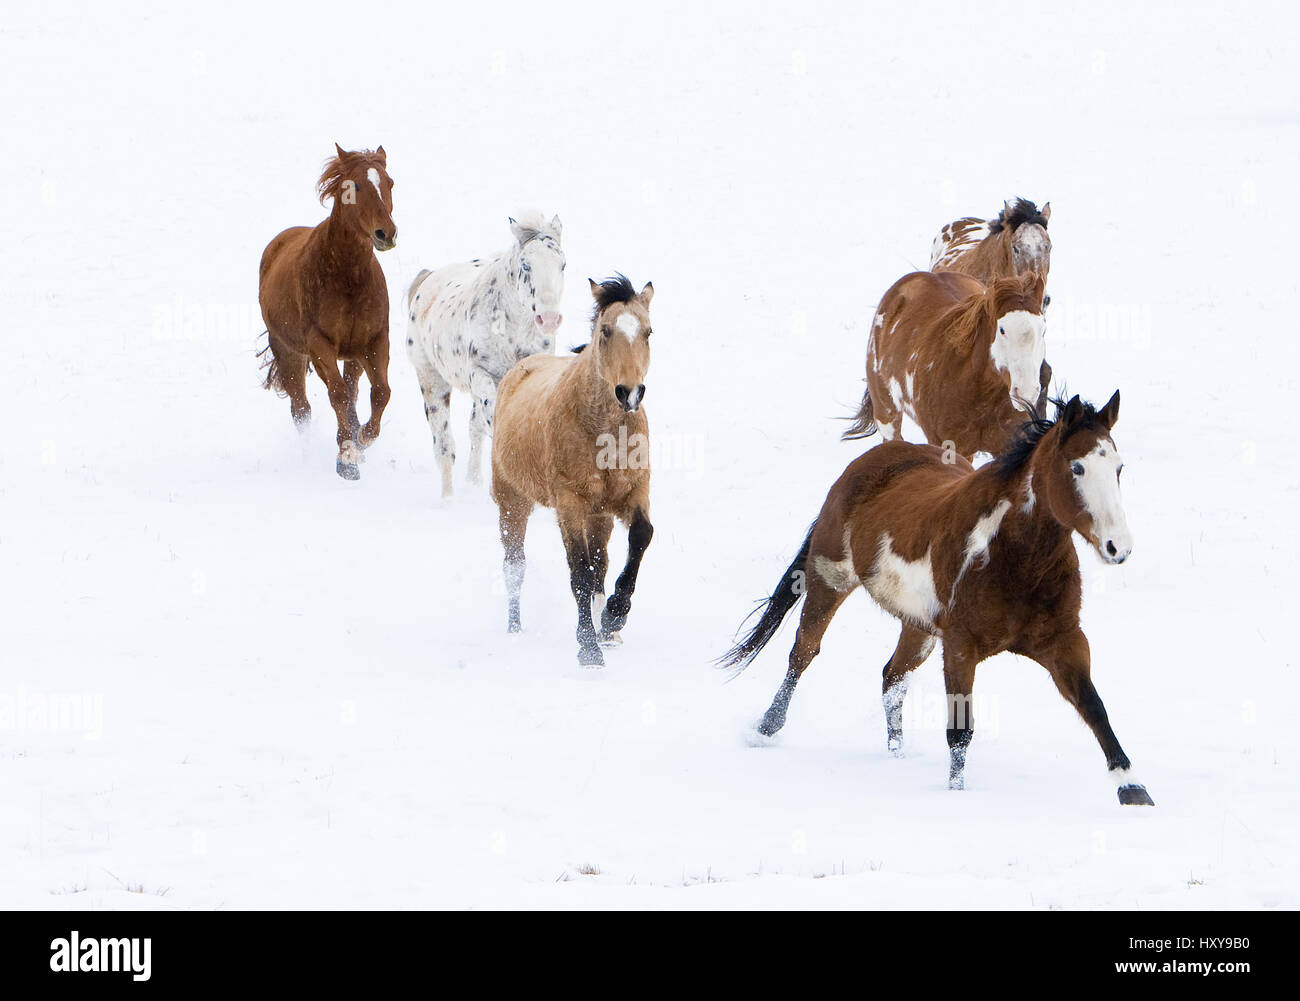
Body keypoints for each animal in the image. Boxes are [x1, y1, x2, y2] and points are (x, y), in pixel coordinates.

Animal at [254, 143, 392, 478]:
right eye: (354, 186)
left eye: (390, 183)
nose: (386, 233)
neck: (348, 277)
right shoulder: (320, 346)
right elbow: (337, 394)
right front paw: (346, 457)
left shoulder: (375, 341)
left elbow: (380, 392)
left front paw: (362, 440)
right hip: (288, 352)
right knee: (301, 408)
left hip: (352, 355)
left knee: (353, 392)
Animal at [405, 209, 564, 493]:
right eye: (526, 265)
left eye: (562, 265)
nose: (548, 319)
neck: (512, 328)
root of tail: (429, 278)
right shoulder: (480, 374)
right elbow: (491, 411)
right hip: (431, 380)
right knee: (445, 447)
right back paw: (448, 498)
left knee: (473, 429)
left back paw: (474, 481)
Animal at [488, 275, 655, 663]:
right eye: (605, 331)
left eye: (648, 332)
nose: (629, 393)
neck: (605, 433)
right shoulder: (569, 504)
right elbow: (579, 571)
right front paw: (588, 649)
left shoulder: (633, 493)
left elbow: (640, 537)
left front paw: (613, 617)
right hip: (512, 503)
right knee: (515, 566)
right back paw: (515, 627)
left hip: (600, 515)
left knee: (601, 565)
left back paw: (608, 628)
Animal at [717, 390, 1154, 800]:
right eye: (1077, 467)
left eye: (1118, 467)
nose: (1119, 547)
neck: (1014, 558)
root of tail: (866, 463)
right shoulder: (960, 646)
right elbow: (960, 732)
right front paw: (955, 794)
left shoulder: (1062, 641)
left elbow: (1094, 708)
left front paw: (1132, 788)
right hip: (830, 580)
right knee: (803, 652)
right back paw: (765, 728)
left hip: (919, 627)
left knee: (892, 677)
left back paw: (895, 754)